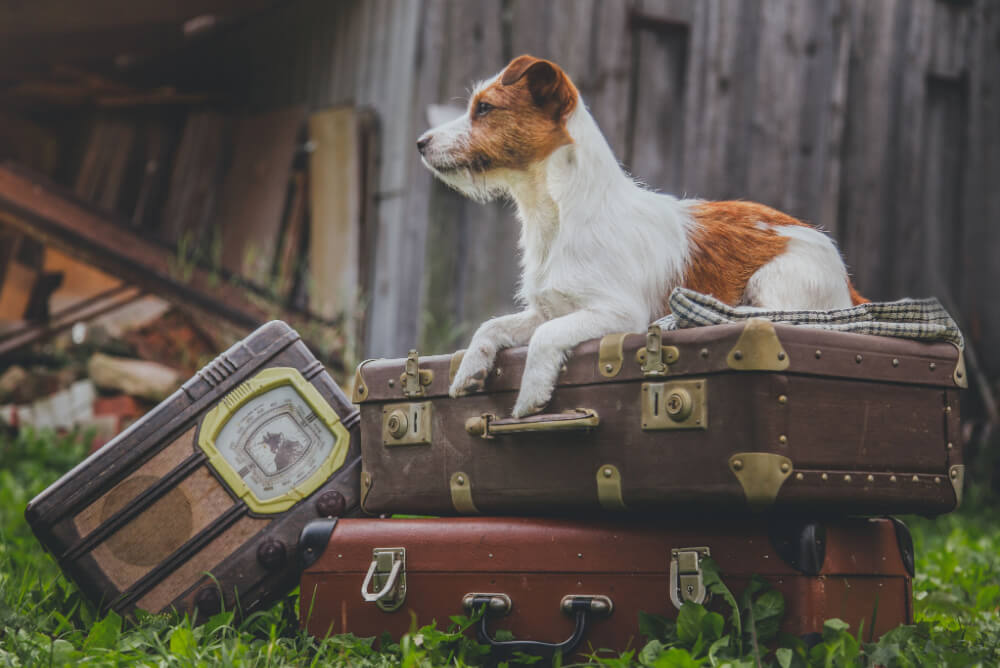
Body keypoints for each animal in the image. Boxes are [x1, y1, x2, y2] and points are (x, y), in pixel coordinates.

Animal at [416, 54, 868, 418]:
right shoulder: (549, 309)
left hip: (774, 280)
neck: (558, 214)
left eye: (484, 108)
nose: (420, 142)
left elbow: (546, 336)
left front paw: (531, 392)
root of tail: (848, 280)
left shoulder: (618, 313)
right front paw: (470, 368)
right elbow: (492, 326)